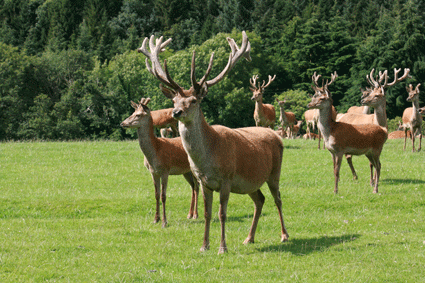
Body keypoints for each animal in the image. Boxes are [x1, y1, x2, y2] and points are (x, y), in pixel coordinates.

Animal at [119, 98, 199, 227]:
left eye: (138, 114)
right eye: (132, 112)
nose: (122, 123)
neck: (154, 152)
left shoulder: (165, 170)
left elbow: (163, 196)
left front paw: (164, 221)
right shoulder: (153, 172)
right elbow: (156, 195)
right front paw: (155, 219)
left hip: (194, 167)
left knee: (197, 186)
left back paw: (196, 214)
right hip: (185, 171)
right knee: (193, 187)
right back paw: (189, 214)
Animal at [138, 31, 288, 255]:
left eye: (193, 101)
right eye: (174, 101)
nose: (176, 112)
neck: (208, 160)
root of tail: (277, 136)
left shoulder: (226, 178)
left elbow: (222, 214)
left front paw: (222, 247)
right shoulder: (204, 181)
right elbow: (208, 213)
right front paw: (204, 245)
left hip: (274, 172)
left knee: (277, 198)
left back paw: (284, 235)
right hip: (251, 181)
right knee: (260, 200)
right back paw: (249, 238)